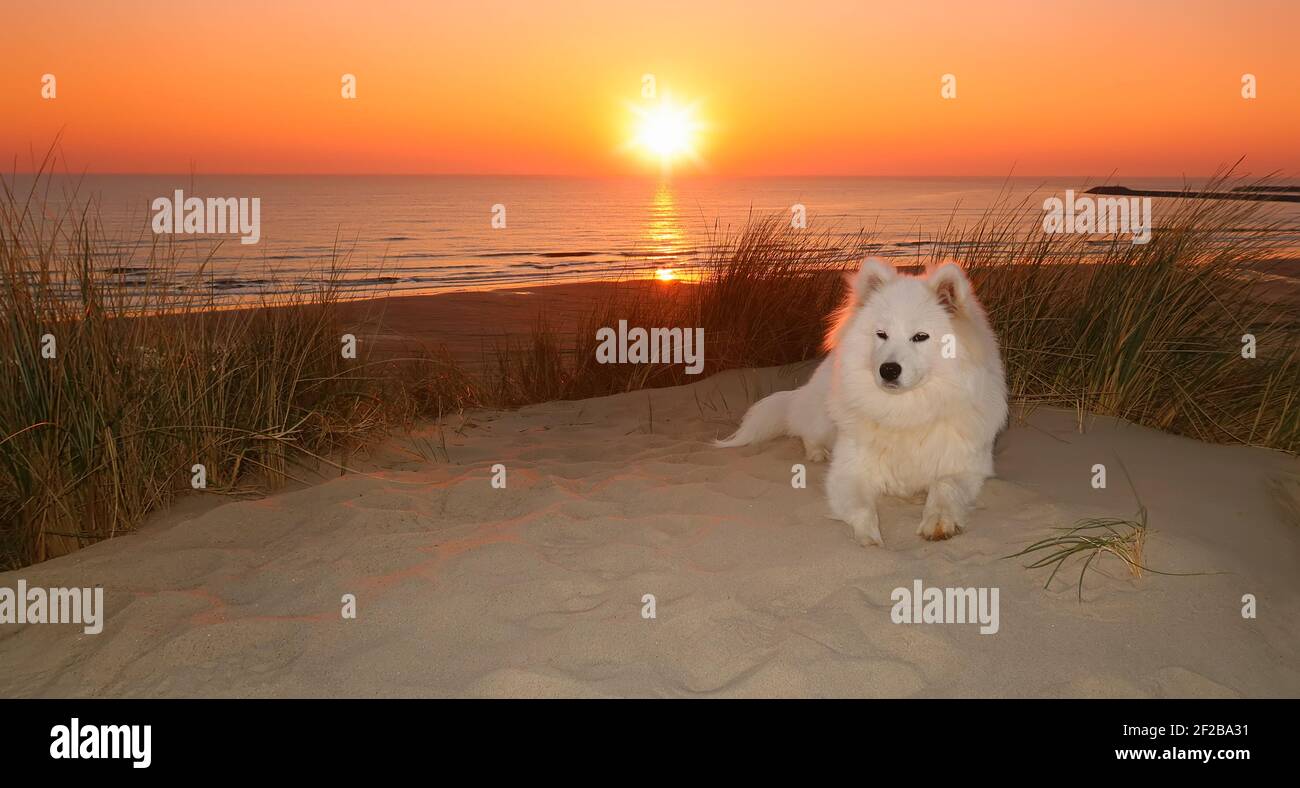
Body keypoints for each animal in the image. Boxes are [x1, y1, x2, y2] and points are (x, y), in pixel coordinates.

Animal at [717, 260, 1008, 548]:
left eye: (920, 336)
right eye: (881, 334)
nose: (888, 370)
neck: (905, 411)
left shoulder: (967, 468)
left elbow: (944, 487)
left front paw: (938, 521)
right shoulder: (848, 472)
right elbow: (861, 508)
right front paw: (870, 539)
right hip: (821, 416)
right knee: (804, 429)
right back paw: (816, 452)